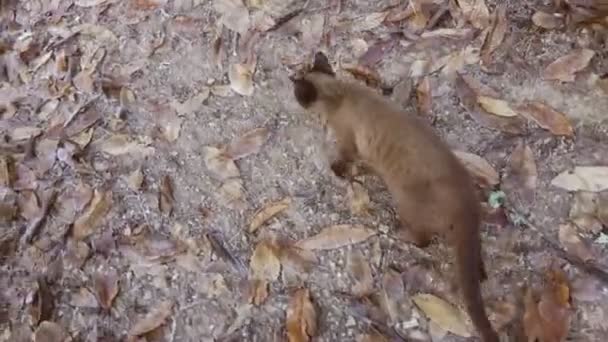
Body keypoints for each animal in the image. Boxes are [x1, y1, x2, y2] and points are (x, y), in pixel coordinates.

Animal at [290, 51, 498, 342]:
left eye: (297, 89)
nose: (291, 86)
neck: (340, 93)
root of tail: (466, 203)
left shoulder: (347, 145)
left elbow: (342, 163)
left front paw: (338, 172)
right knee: (474, 261)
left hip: (405, 202)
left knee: (422, 239)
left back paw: (398, 231)